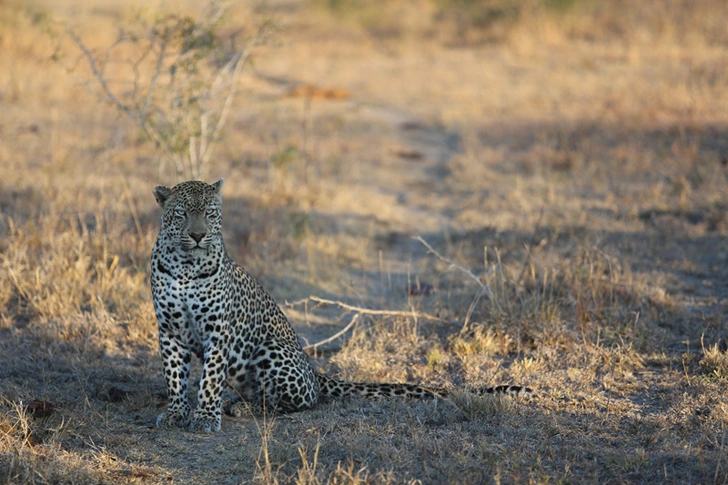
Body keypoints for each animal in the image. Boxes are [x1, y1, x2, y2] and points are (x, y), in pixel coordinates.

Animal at [149, 179, 536, 432]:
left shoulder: (219, 331)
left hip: (271, 349)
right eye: (181, 214)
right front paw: (176, 413)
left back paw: (240, 409)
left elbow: (210, 377)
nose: (198, 235)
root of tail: (315, 372)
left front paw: (205, 416)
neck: (186, 265)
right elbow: (174, 375)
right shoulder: (168, 329)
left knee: (299, 402)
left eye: (211, 213)